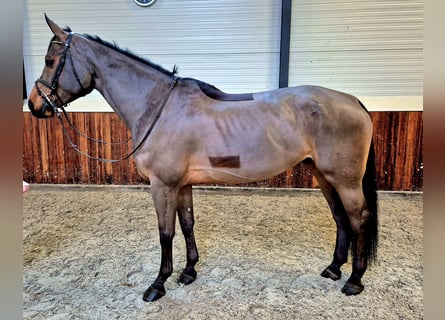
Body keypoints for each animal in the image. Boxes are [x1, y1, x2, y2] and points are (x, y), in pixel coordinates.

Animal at [26, 14, 378, 300]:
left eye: (50, 60)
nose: (34, 105)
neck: (160, 108)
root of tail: (354, 101)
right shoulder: (181, 185)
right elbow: (187, 224)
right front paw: (188, 271)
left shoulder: (162, 185)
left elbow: (165, 232)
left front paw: (158, 284)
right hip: (323, 175)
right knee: (340, 218)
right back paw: (334, 268)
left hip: (345, 180)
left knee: (359, 219)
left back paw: (354, 280)